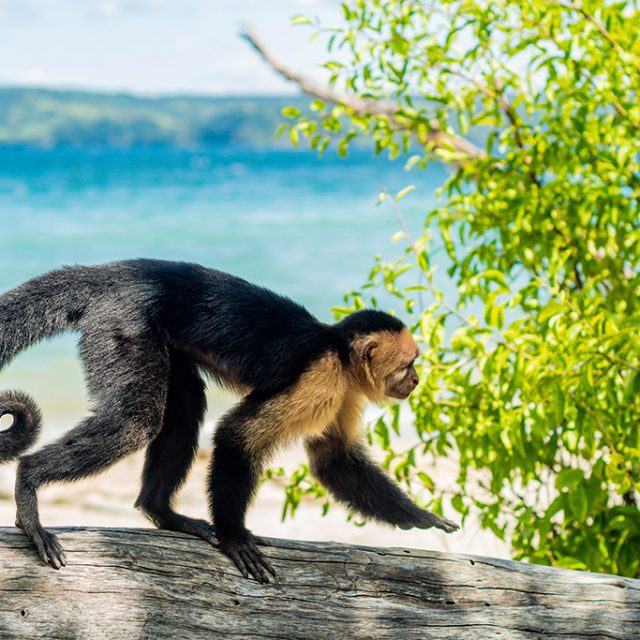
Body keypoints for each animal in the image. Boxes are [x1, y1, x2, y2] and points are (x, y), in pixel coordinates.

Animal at [0, 259, 459, 583]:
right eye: (410, 364)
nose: (416, 381)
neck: (339, 355)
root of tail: (120, 272)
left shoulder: (342, 393)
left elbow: (335, 460)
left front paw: (421, 518)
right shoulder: (320, 378)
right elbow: (238, 436)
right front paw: (235, 536)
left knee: (184, 406)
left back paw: (161, 511)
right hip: (123, 324)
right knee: (134, 422)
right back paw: (29, 483)